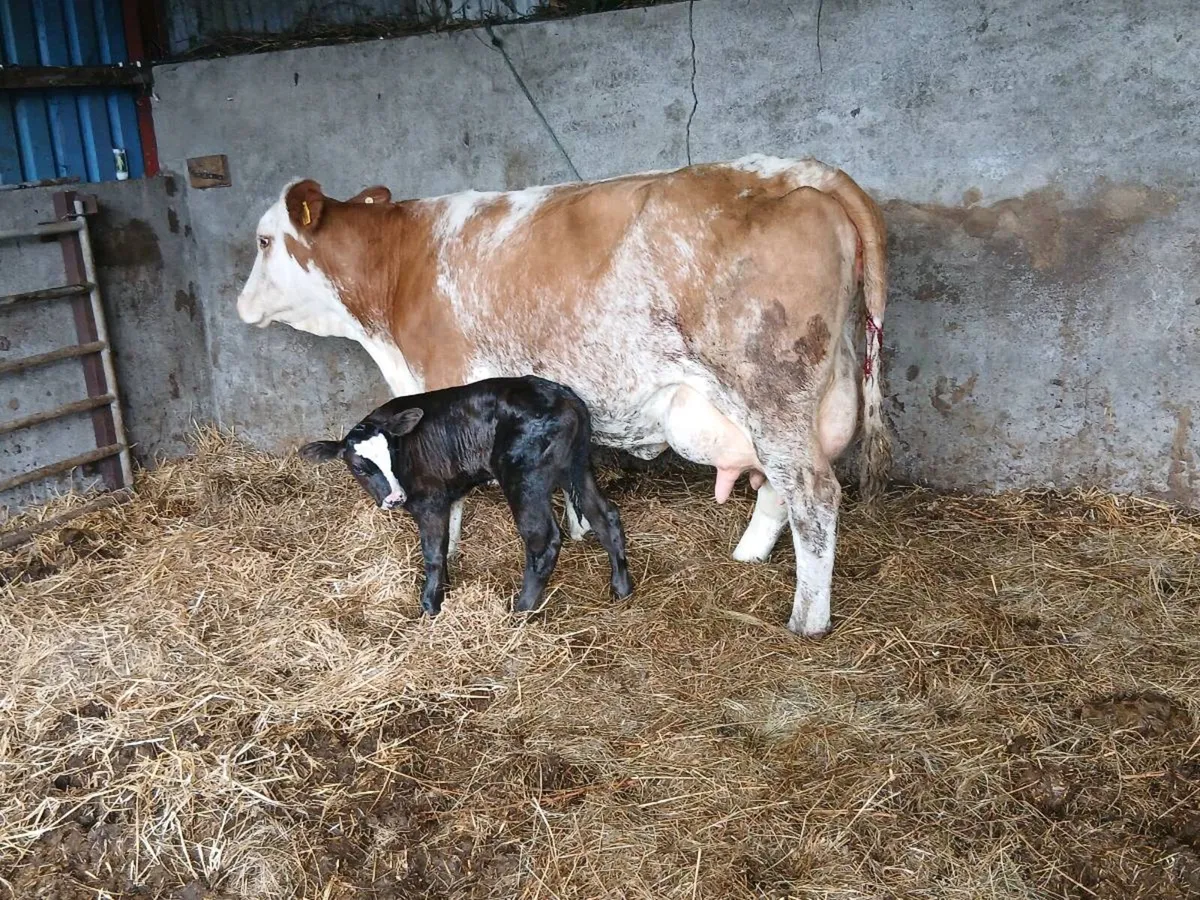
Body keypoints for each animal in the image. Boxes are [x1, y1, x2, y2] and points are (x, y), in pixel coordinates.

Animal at [298, 375, 633, 617]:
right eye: (359, 467)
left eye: (393, 452)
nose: (395, 499)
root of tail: (565, 397)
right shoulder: (450, 492)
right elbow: (448, 543)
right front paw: (444, 590)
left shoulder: (430, 501)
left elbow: (433, 554)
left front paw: (430, 607)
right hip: (576, 464)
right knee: (605, 516)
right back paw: (621, 588)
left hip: (525, 478)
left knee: (543, 541)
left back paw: (521, 610)